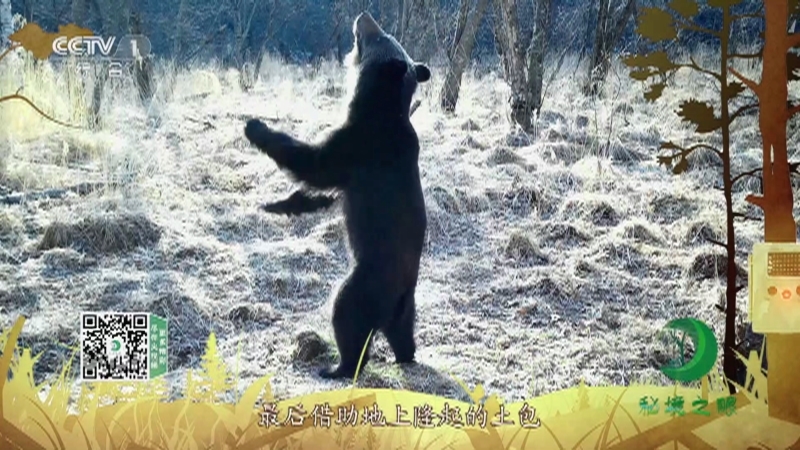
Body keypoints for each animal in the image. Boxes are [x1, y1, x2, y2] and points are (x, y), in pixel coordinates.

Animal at [243, 11, 431, 380]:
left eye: (378, 36)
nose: (365, 15)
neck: (380, 107)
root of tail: (396, 300)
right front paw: (280, 205)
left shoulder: (358, 147)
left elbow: (312, 163)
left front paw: (255, 127)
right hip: (406, 308)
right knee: (404, 334)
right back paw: (405, 355)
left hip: (366, 283)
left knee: (346, 316)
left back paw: (336, 366)